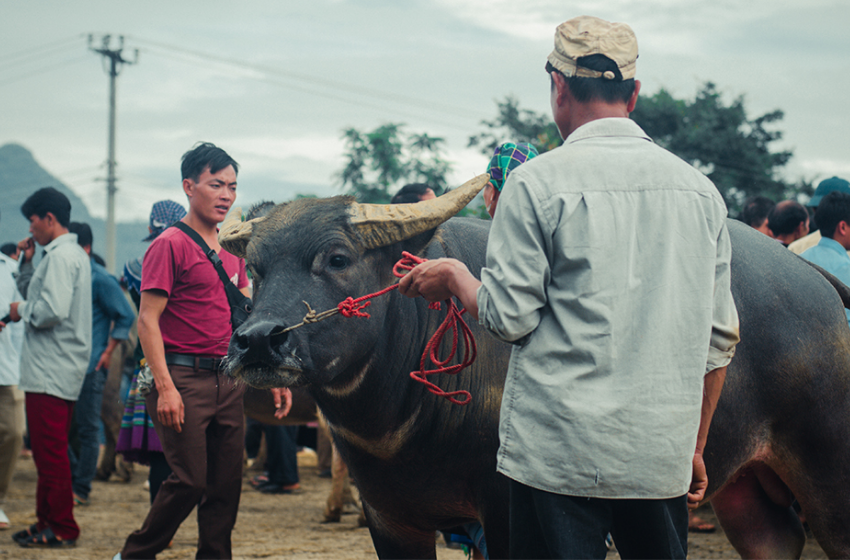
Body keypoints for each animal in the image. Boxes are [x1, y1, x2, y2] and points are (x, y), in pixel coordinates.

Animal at [224, 178, 848, 560]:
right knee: (774, 538)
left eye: (336, 258)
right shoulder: (391, 518)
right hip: (742, 482)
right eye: (255, 268)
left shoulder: (507, 510)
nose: (257, 342)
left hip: (827, 470)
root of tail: (815, 282)